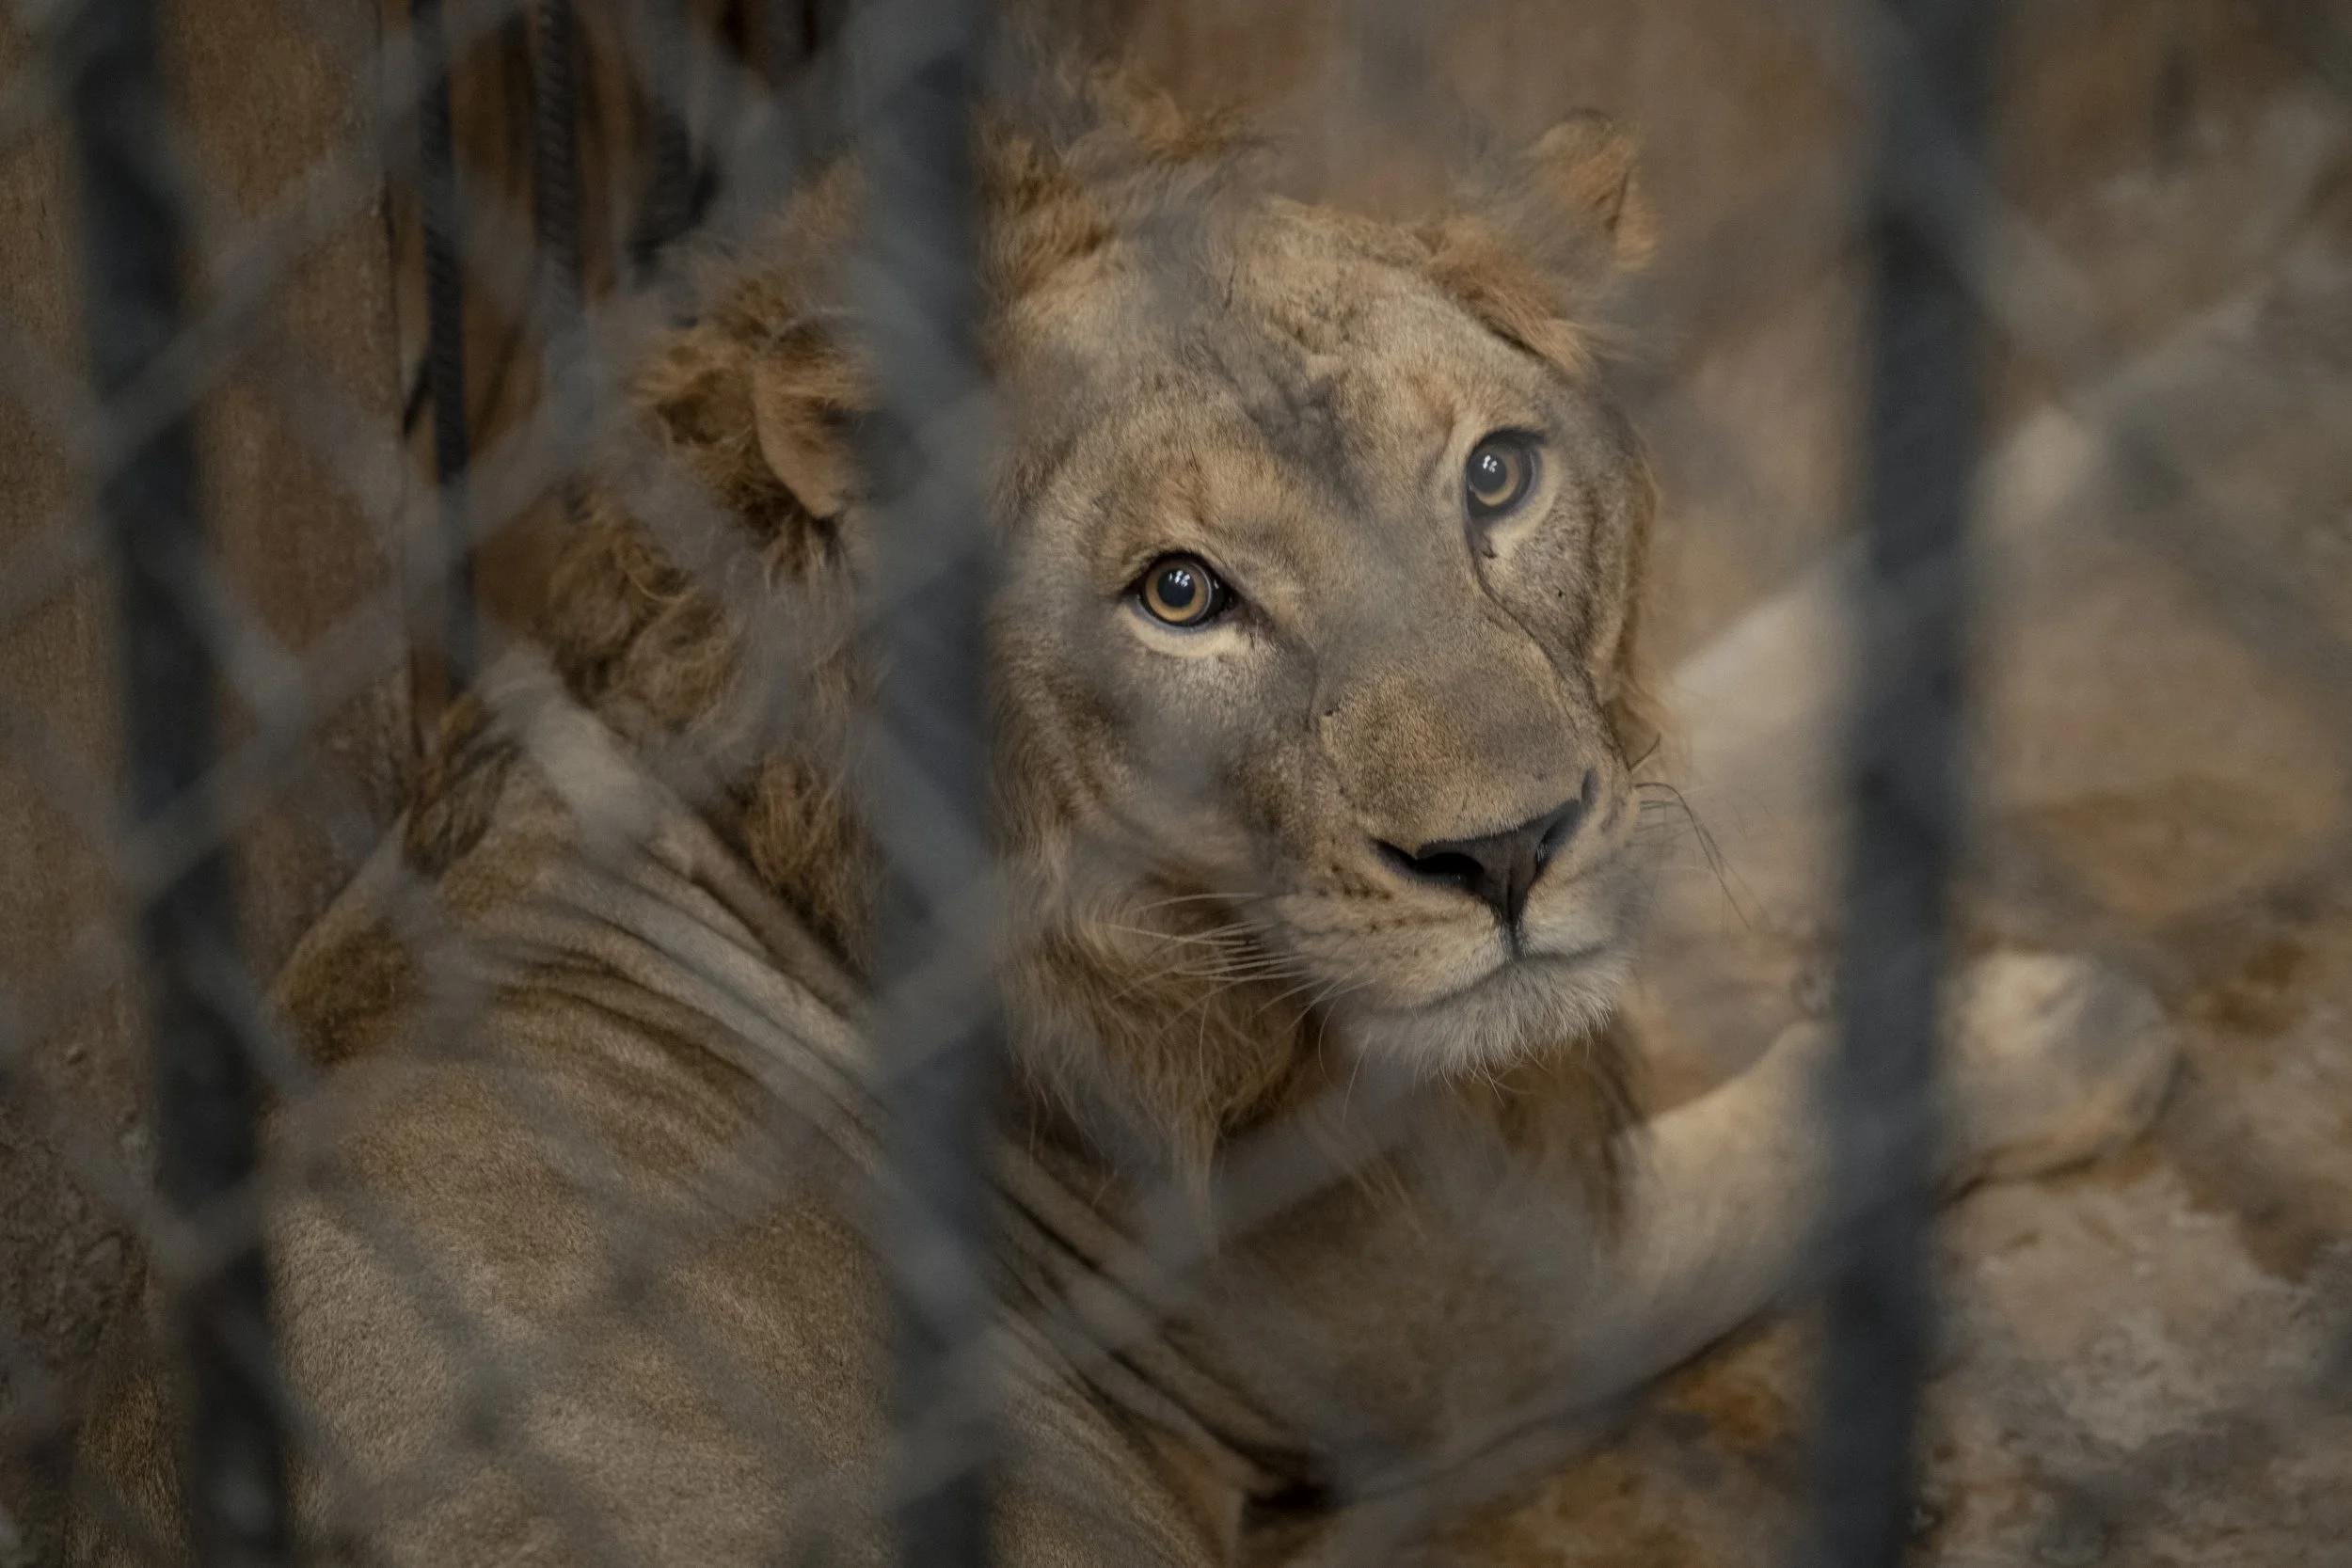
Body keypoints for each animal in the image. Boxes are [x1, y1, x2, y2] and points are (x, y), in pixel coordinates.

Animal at [69, 80, 2177, 1567]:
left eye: (1497, 478)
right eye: (1180, 595)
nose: (1509, 850)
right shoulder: (1503, 1314)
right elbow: (1817, 1127)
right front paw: (2073, 1020)